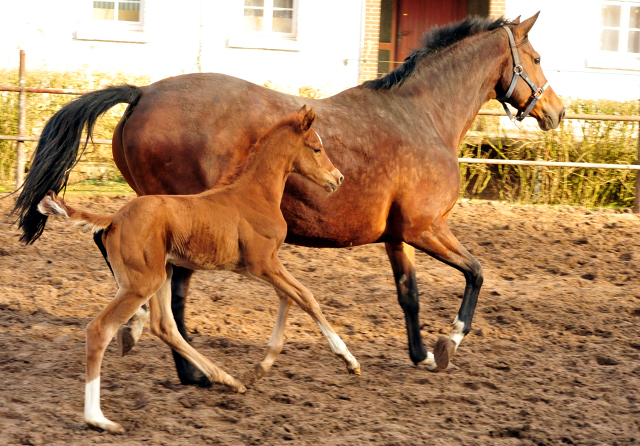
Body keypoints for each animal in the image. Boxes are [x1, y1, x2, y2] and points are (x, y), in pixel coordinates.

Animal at [38, 107, 360, 432]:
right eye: (317, 148)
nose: (338, 177)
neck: (254, 195)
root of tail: (114, 218)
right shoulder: (264, 262)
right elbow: (306, 297)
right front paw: (348, 359)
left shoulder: (253, 267)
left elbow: (288, 298)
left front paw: (258, 369)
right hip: (143, 283)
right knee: (100, 329)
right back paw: (99, 419)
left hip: (161, 275)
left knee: (164, 326)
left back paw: (227, 379)